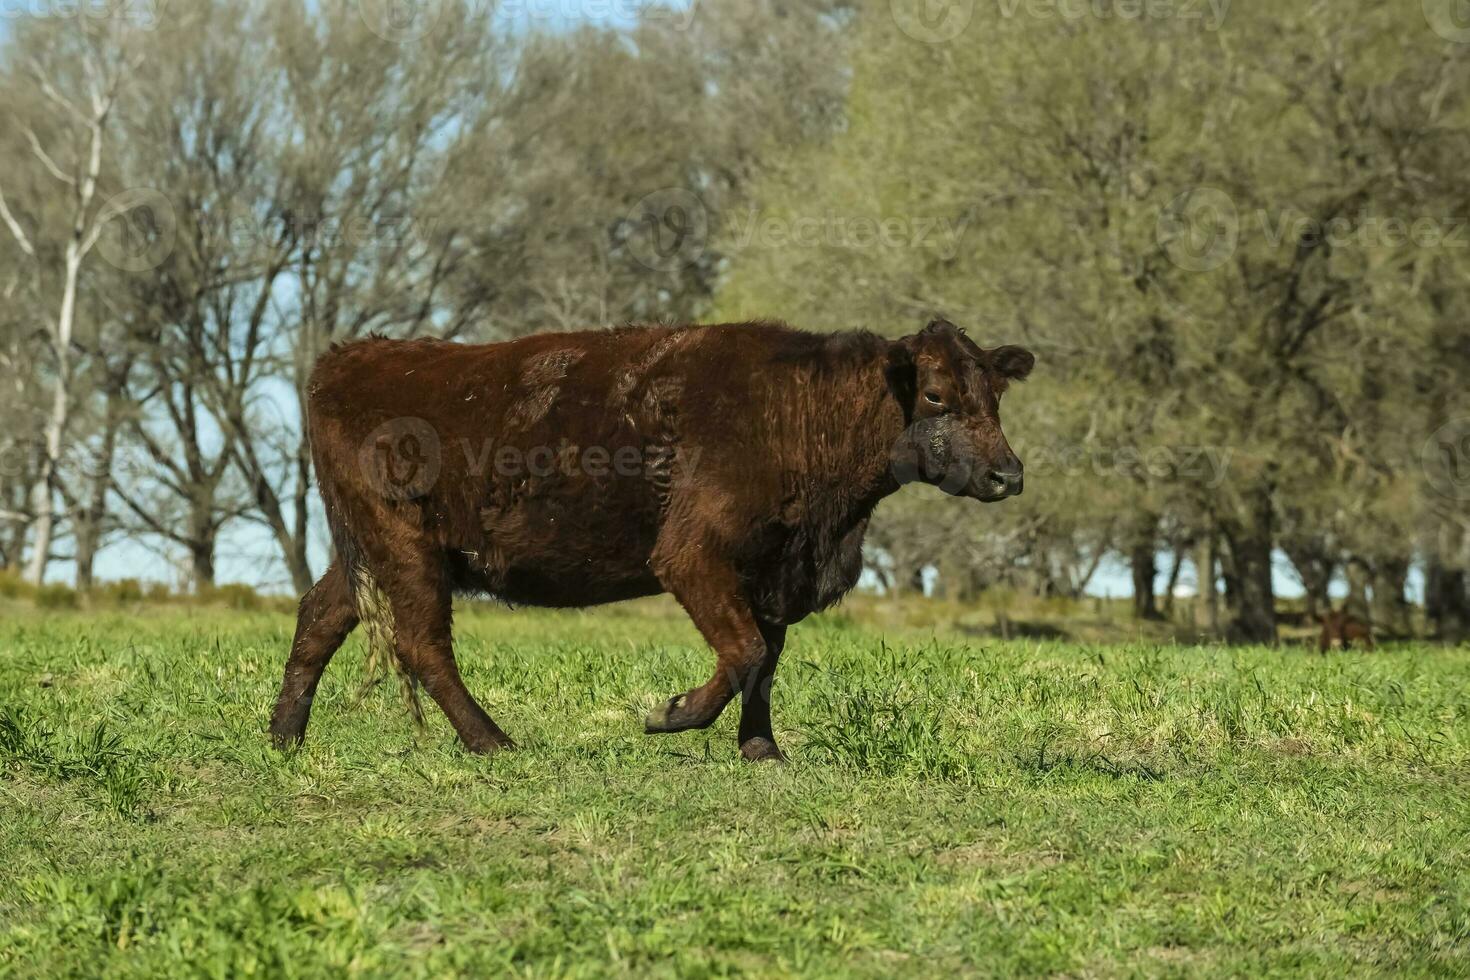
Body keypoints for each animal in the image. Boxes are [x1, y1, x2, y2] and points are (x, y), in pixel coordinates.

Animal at [270, 318, 1040, 764]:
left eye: (996, 395)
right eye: (936, 395)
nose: (1008, 474)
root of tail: (351, 358)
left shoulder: (771, 572)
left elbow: (764, 661)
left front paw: (762, 750)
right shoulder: (692, 554)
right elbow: (744, 651)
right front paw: (671, 715)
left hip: (372, 555)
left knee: (320, 615)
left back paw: (284, 739)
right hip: (408, 549)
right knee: (421, 643)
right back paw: (494, 743)